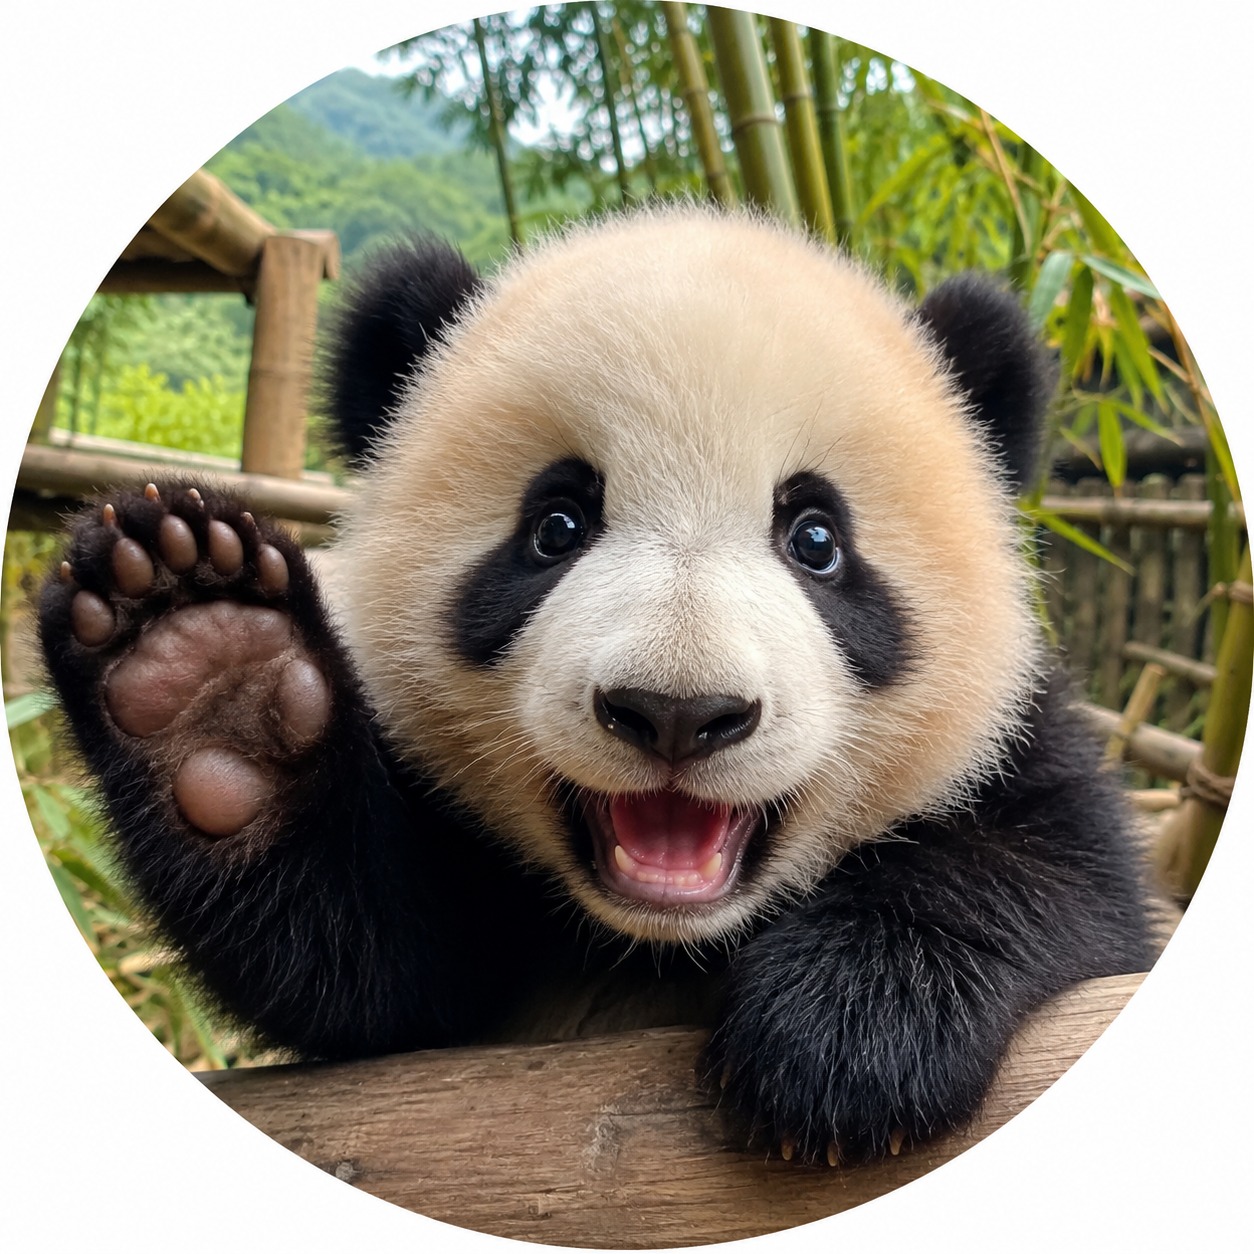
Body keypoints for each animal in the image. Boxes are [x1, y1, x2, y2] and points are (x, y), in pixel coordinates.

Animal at [38, 206, 1153, 1165]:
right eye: (557, 527)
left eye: (816, 540)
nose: (677, 712)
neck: (659, 945)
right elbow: (370, 977)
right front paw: (209, 665)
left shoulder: (1021, 748)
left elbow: (1059, 881)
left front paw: (848, 1038)